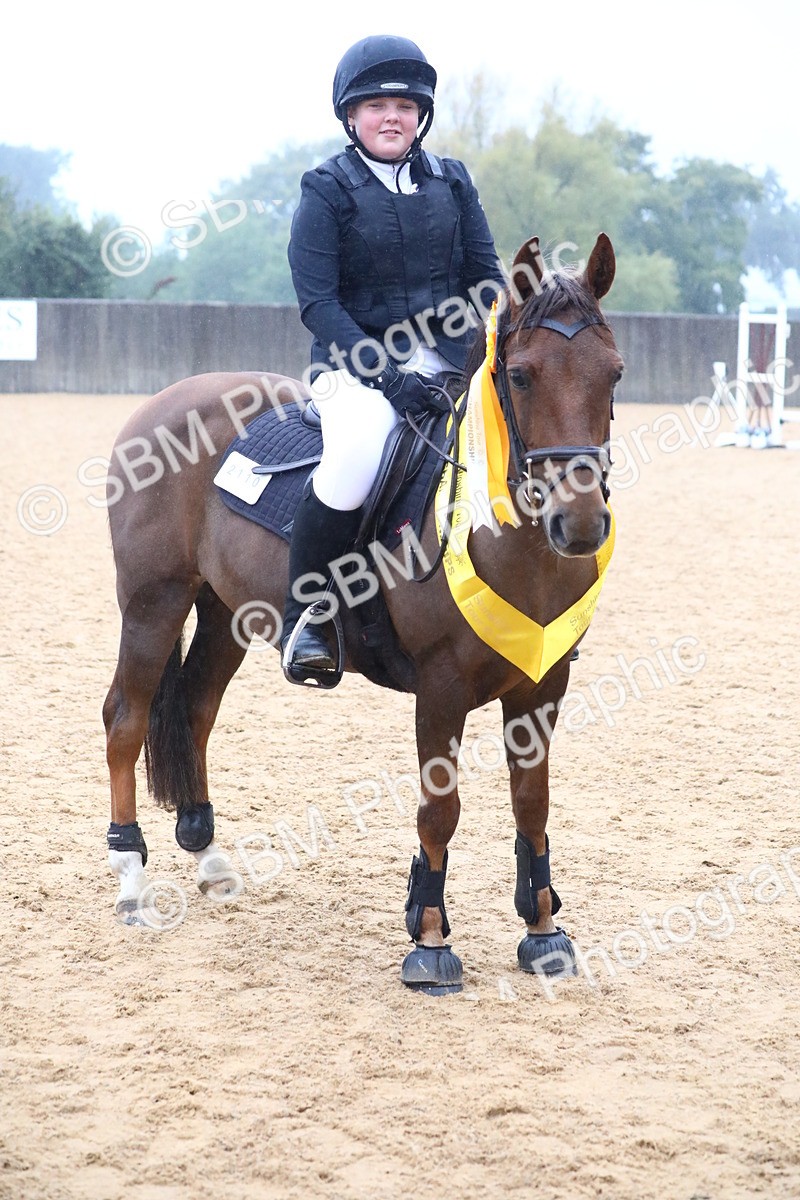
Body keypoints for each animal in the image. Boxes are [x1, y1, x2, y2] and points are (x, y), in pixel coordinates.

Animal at [102, 233, 624, 994]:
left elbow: (533, 803)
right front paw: (429, 941)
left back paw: (209, 860)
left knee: (194, 708)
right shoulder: (441, 688)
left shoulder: (542, 685)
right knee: (127, 719)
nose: (580, 524)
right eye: (523, 376)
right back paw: (131, 880)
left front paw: (543, 932)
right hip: (154, 601)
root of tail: (167, 401)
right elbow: (440, 811)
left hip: (225, 611)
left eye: (614, 374)